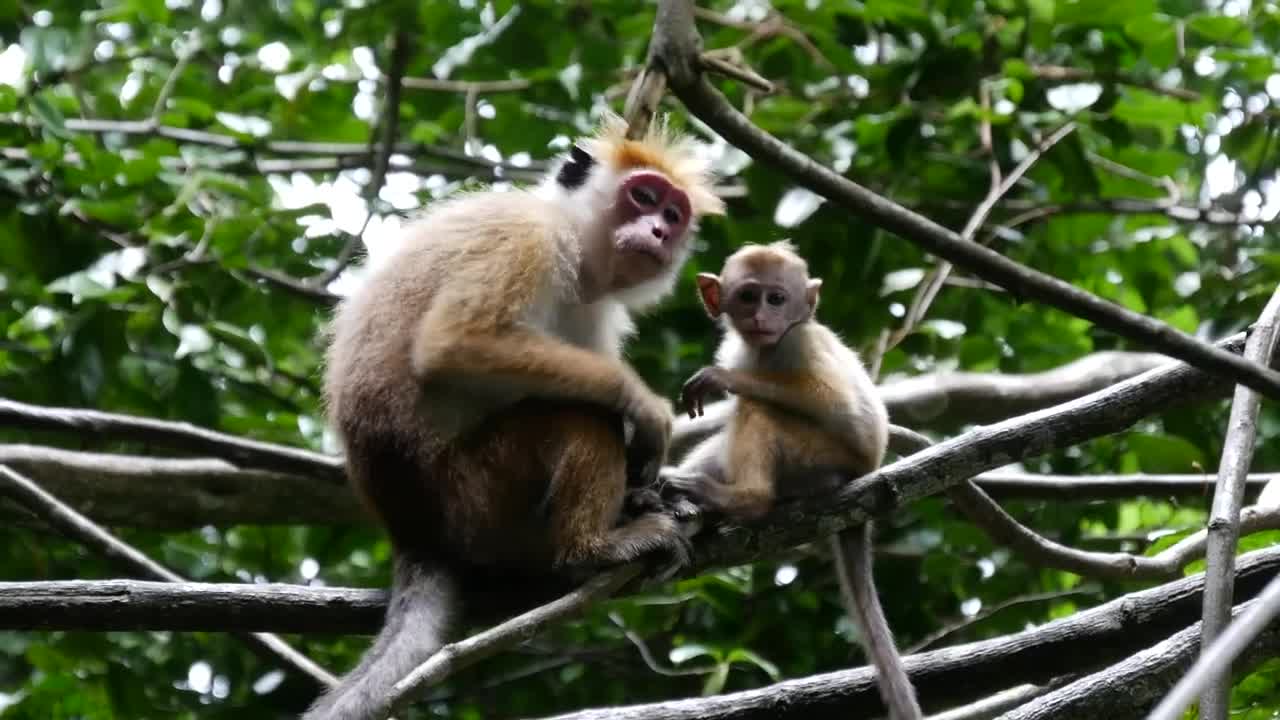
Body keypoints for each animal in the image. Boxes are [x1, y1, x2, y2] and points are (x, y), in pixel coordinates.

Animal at [307, 115, 724, 720]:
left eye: (674, 214)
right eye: (643, 197)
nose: (659, 232)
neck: (575, 243)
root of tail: (413, 530)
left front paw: (652, 488)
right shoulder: (526, 237)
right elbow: (455, 343)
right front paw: (646, 409)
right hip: (476, 498)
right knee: (578, 416)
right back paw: (590, 550)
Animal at [660, 241, 923, 720]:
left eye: (777, 298)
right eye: (749, 297)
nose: (763, 317)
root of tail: (865, 473)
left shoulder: (802, 341)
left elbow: (842, 409)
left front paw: (722, 379)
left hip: (819, 463)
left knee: (759, 410)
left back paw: (746, 499)